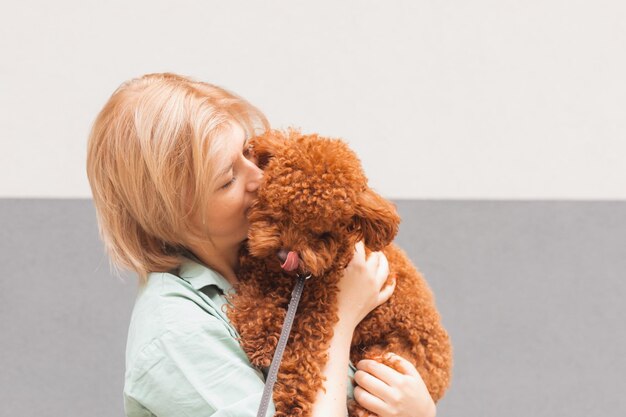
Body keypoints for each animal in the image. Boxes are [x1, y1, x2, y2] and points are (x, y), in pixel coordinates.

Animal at [227, 130, 450, 416]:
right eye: (280, 209)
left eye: (320, 232)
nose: (285, 256)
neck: (291, 279)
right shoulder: (262, 272)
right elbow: (256, 299)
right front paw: (259, 336)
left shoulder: (317, 313)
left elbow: (302, 358)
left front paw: (291, 404)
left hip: (390, 361)